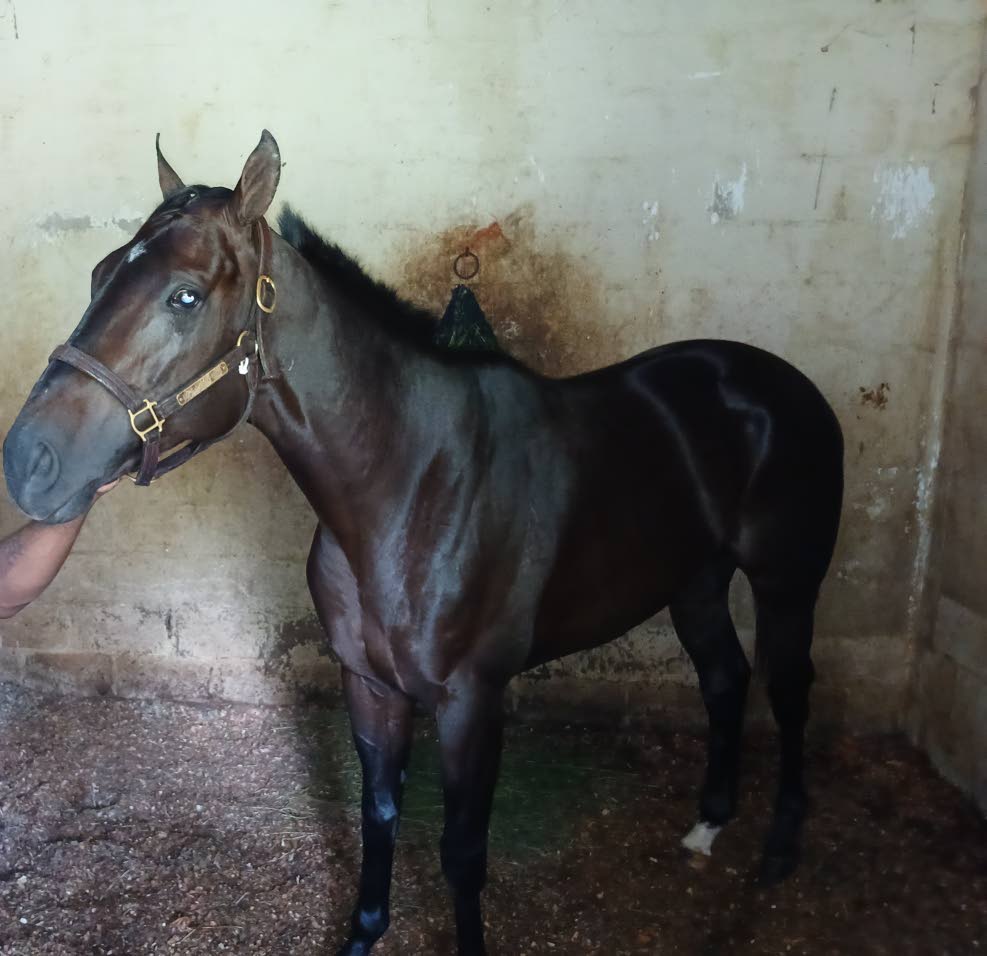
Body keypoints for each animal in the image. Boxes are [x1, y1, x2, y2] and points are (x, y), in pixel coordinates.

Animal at [3, 131, 844, 955]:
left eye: (185, 295)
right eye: (100, 273)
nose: (28, 460)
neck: (411, 484)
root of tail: (774, 382)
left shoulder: (472, 700)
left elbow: (461, 852)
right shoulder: (369, 686)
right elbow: (378, 814)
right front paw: (362, 934)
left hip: (785, 581)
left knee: (787, 687)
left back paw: (778, 850)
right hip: (694, 581)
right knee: (724, 678)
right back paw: (706, 826)